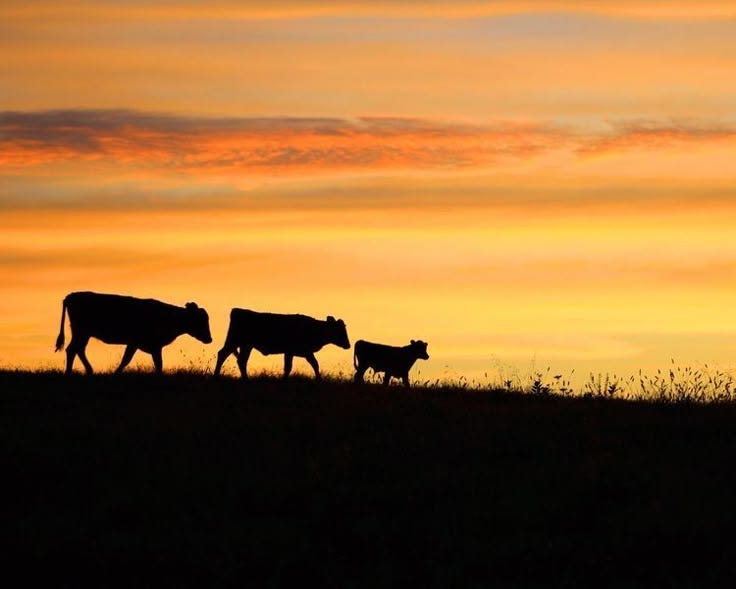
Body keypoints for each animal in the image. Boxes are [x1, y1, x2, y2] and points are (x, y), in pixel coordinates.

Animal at [55, 291, 212, 375]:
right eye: (201, 320)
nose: (209, 339)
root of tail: (71, 295)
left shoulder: (146, 345)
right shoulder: (144, 344)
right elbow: (135, 360)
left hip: (83, 333)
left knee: (78, 349)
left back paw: (89, 370)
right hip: (81, 332)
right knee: (72, 349)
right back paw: (70, 372)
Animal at [213, 309, 350, 380]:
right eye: (340, 330)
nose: (348, 345)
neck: (314, 328)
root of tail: (237, 310)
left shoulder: (302, 352)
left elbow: (314, 364)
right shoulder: (292, 351)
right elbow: (290, 367)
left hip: (245, 345)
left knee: (241, 360)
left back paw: (244, 378)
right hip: (234, 341)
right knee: (223, 355)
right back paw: (216, 376)